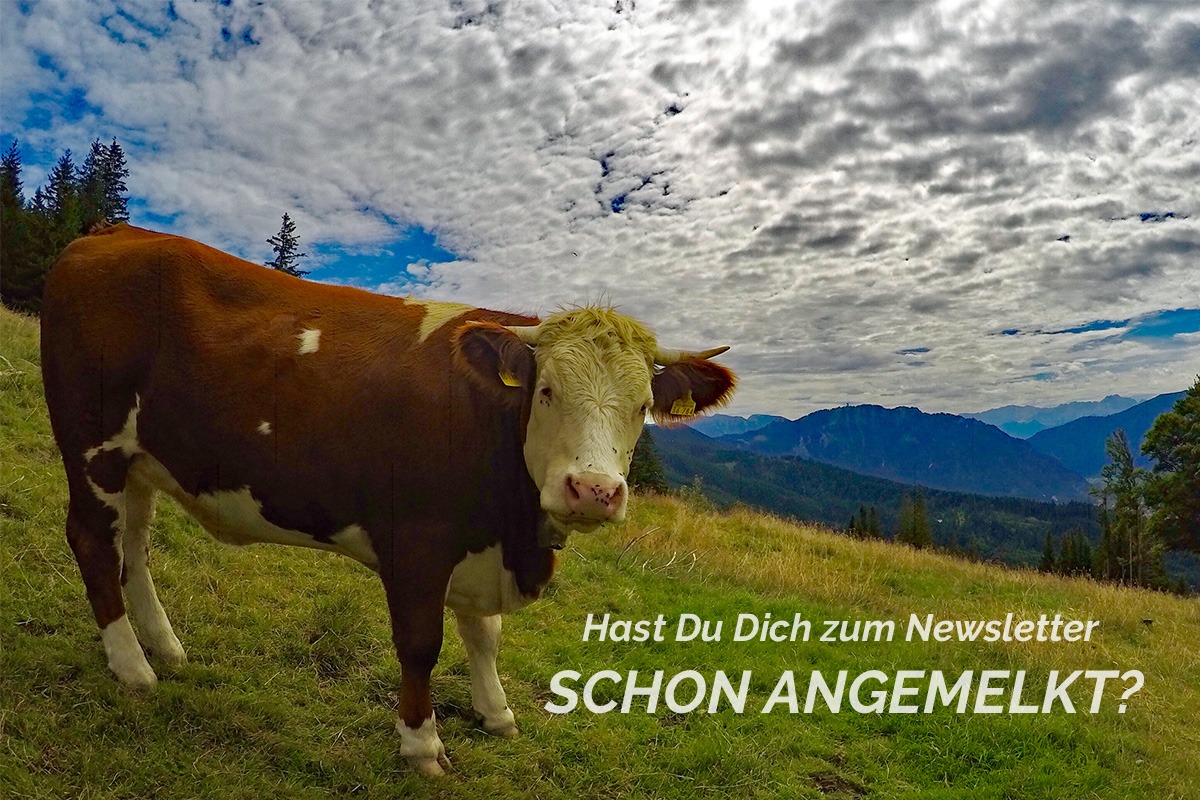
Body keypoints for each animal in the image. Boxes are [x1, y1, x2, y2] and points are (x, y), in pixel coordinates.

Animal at [39, 223, 736, 776]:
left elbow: (484, 635)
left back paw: (163, 646)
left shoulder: (476, 544)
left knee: (132, 546)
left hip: (140, 460)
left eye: (642, 407)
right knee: (93, 541)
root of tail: (114, 232)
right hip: (91, 444)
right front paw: (422, 745)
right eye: (547, 391)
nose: (594, 491)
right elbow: (422, 645)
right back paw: (133, 668)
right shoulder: (418, 544)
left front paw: (496, 713)